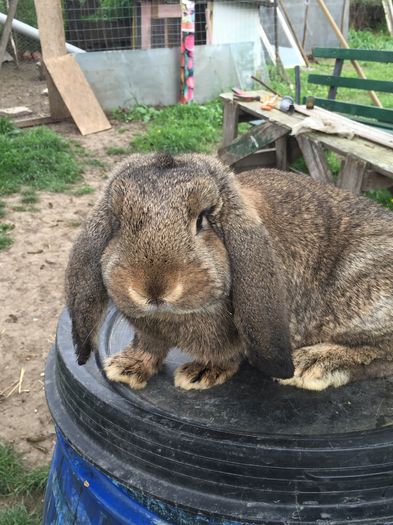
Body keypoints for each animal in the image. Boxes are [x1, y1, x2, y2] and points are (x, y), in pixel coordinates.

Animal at [65, 151, 393, 388]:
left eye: (202, 220)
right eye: (119, 223)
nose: (154, 288)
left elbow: (227, 355)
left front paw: (199, 374)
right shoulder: (149, 333)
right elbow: (148, 345)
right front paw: (125, 368)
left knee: (382, 354)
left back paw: (311, 366)